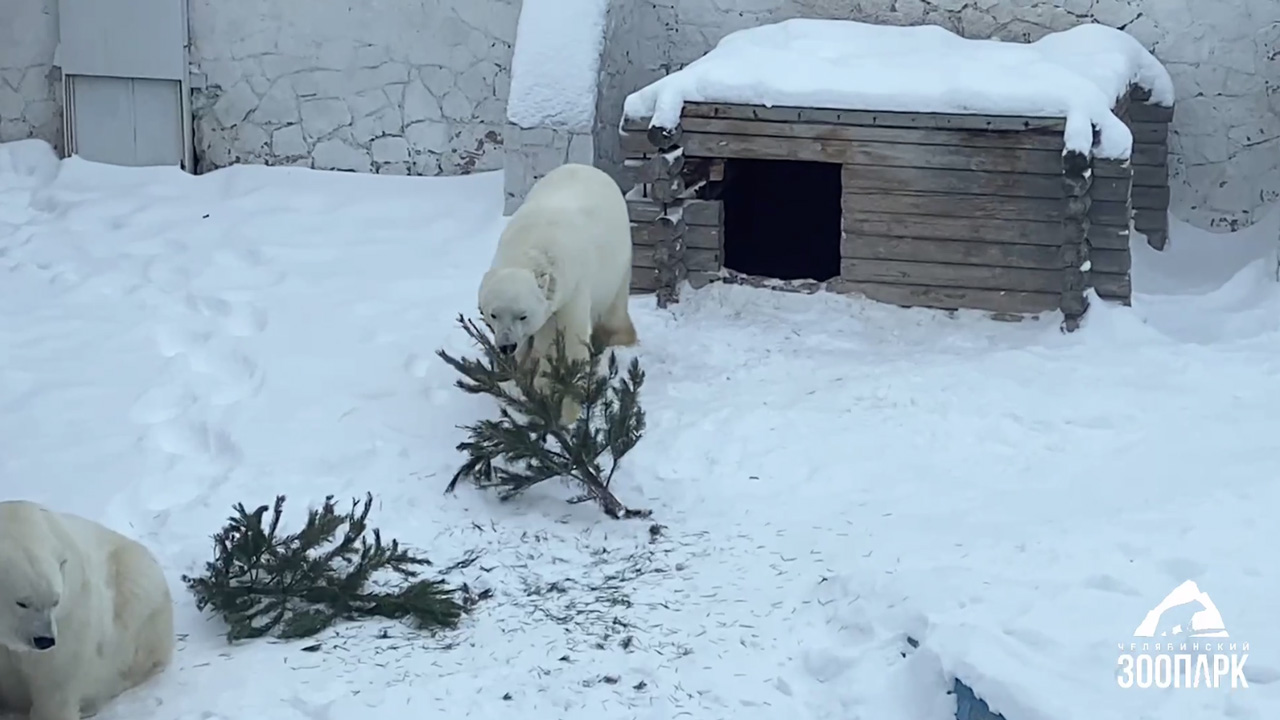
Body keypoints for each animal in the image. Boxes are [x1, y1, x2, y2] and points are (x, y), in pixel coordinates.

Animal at [478, 162, 637, 420]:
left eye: (523, 315)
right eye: (493, 314)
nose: (506, 345)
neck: (530, 247)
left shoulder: (571, 288)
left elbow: (566, 344)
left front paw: (563, 410)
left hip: (618, 261)